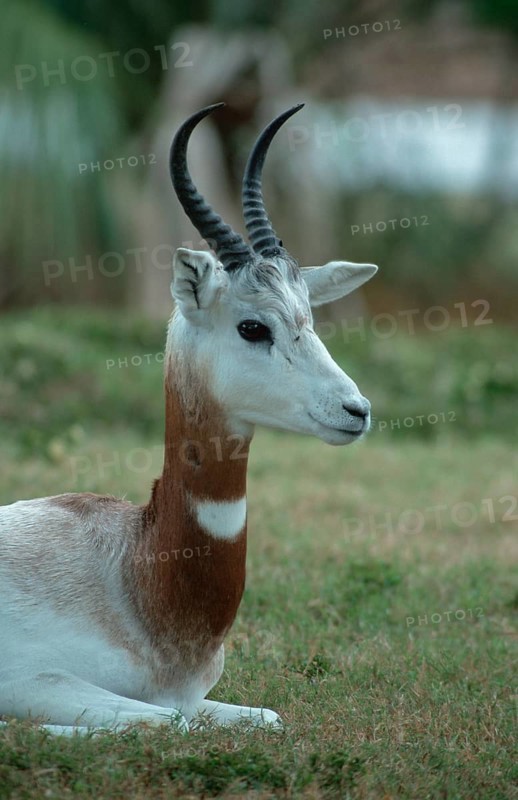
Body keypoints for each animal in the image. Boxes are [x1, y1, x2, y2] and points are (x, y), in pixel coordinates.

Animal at [0, 103, 377, 735]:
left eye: (310, 318)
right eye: (252, 326)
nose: (356, 410)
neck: (136, 572)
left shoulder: (196, 698)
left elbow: (268, 716)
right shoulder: (31, 680)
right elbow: (163, 722)